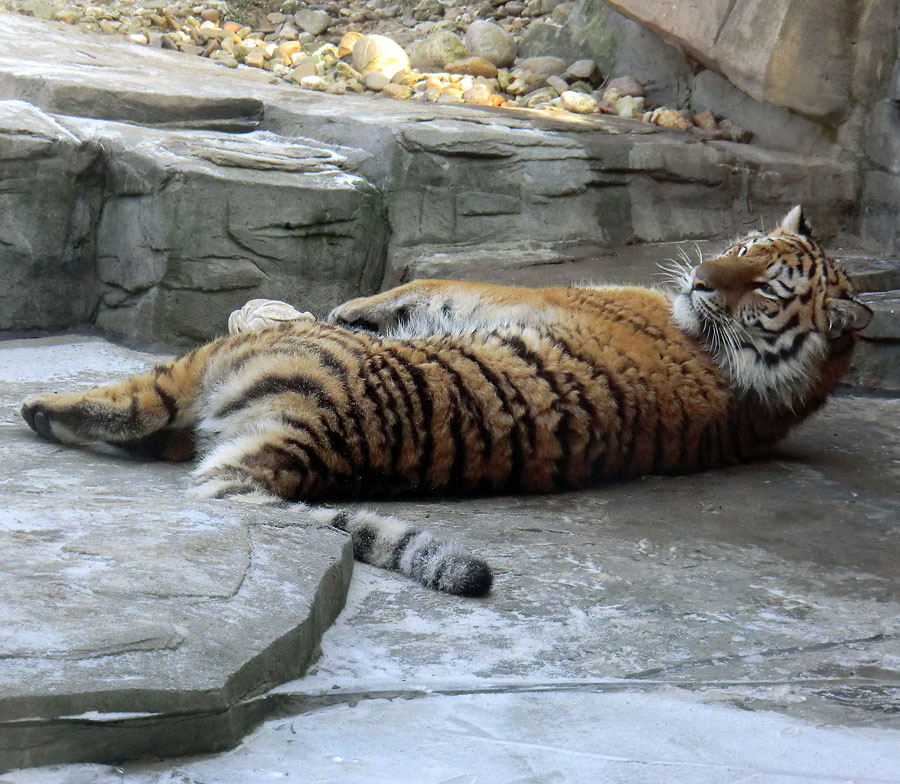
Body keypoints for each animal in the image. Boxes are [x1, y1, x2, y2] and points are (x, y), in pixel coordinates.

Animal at [17, 205, 868, 596]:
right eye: (746, 247)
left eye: (765, 286)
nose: (699, 281)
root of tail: (302, 443)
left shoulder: (513, 295)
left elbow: (423, 284)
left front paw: (344, 305)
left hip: (216, 368)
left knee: (140, 403)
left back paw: (39, 410)